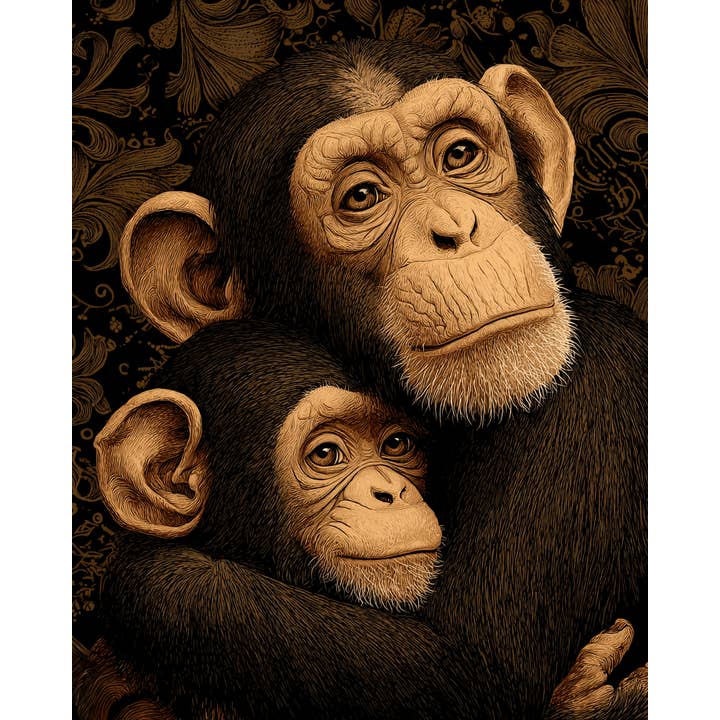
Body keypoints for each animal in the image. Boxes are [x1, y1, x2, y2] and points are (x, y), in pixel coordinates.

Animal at [115, 41, 647, 718]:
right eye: (363, 195)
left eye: (460, 155)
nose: (456, 230)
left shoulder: (590, 402)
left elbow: (477, 674)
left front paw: (157, 579)